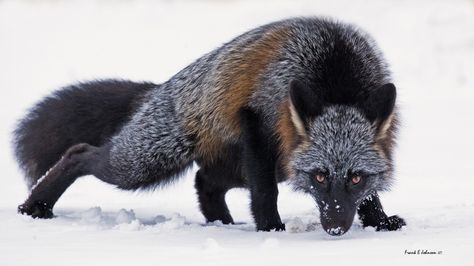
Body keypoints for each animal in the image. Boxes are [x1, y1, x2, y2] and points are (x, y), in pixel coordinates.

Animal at [16, 17, 406, 236]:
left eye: (355, 178)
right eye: (320, 176)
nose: (336, 228)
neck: (335, 72)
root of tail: (163, 87)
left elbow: (372, 195)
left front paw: (379, 222)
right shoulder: (256, 122)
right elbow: (265, 194)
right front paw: (272, 230)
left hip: (256, 165)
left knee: (203, 180)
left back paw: (223, 224)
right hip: (143, 164)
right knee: (79, 152)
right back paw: (36, 206)